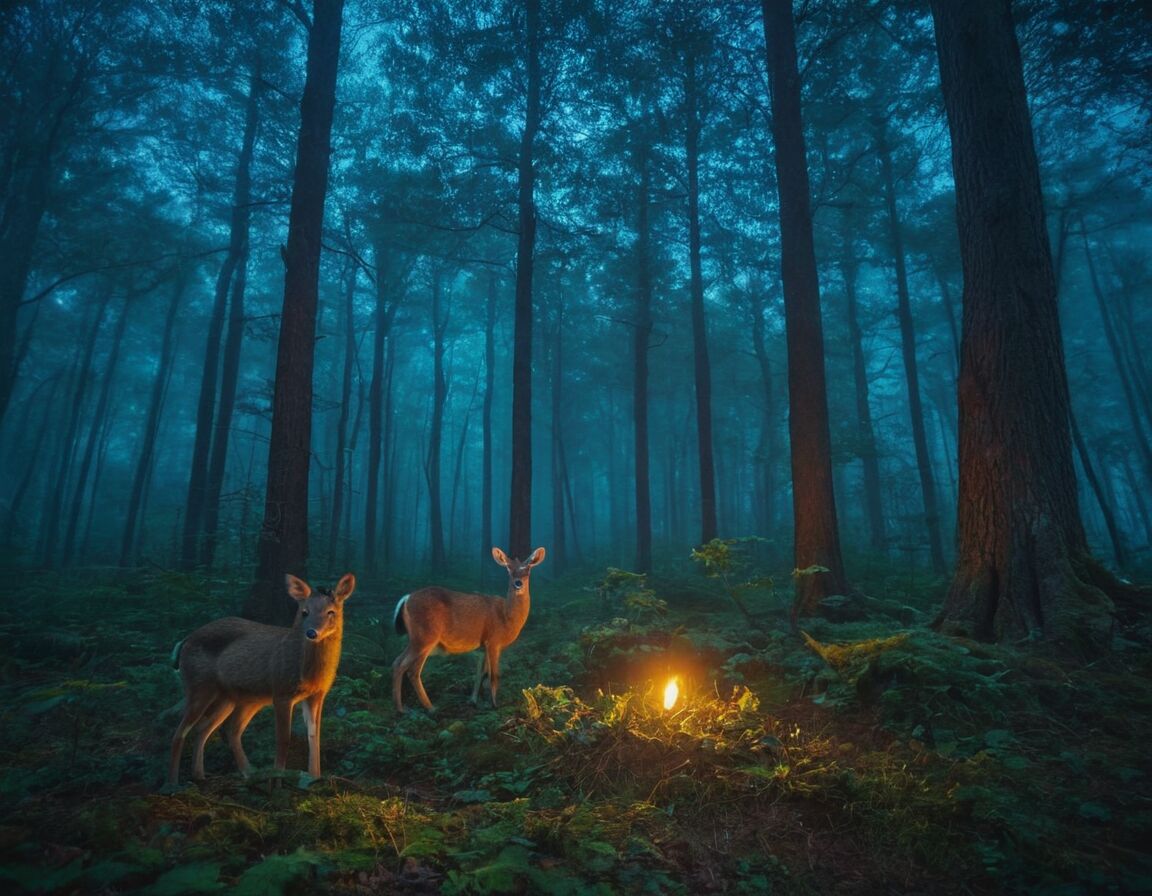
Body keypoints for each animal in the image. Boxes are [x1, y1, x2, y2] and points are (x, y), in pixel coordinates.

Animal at [162, 568, 350, 787]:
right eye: (305, 612)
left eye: (331, 612)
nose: (312, 632)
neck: (307, 672)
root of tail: (184, 641)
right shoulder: (281, 691)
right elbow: (283, 739)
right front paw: (277, 782)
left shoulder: (317, 695)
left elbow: (314, 736)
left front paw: (314, 778)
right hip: (199, 688)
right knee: (180, 732)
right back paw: (173, 784)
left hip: (235, 698)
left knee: (215, 729)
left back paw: (214, 775)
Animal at [391, 543, 543, 714]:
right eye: (508, 569)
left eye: (528, 569)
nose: (518, 583)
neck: (507, 618)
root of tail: (407, 598)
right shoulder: (493, 641)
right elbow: (494, 676)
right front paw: (494, 705)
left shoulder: (483, 647)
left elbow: (480, 674)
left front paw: (473, 701)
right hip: (425, 636)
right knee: (411, 669)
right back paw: (427, 707)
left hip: (416, 638)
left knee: (397, 662)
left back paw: (401, 707)